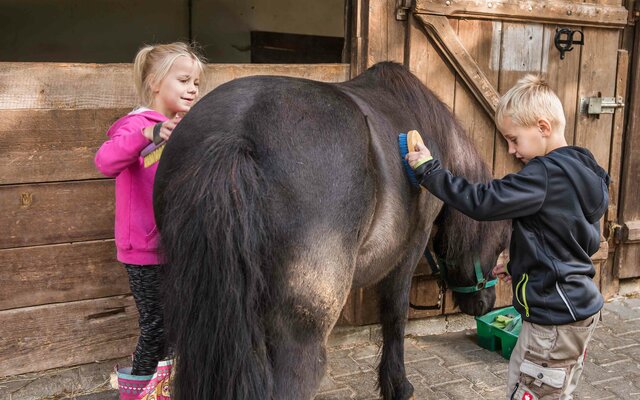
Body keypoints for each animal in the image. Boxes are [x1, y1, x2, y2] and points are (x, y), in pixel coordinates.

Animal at [154, 62, 510, 400]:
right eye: (500, 245)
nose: (487, 303)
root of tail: (236, 135)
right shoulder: (410, 248)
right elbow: (395, 315)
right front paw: (398, 385)